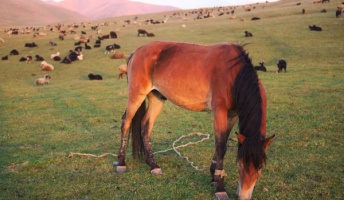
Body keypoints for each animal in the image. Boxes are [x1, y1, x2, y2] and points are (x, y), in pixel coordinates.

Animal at [115, 41, 274, 199]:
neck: (233, 75)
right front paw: (220, 188)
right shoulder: (219, 112)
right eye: (239, 164)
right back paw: (121, 163)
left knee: (145, 125)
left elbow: (222, 143)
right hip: (137, 95)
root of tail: (137, 51)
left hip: (157, 97)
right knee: (126, 123)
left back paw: (153, 165)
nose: (243, 196)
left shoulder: (232, 115)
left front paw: (213, 177)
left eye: (260, 166)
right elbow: (221, 146)